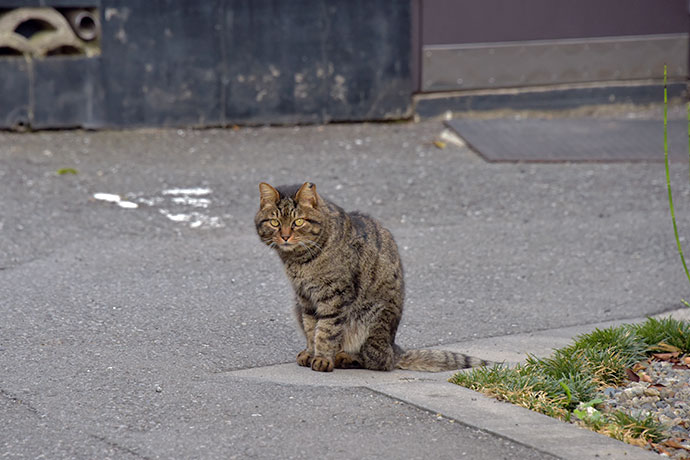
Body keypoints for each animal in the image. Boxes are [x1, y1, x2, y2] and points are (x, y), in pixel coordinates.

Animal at [254, 181, 490, 372]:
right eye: (275, 223)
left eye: (298, 222)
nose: (285, 236)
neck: (299, 260)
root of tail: (394, 349)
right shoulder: (304, 298)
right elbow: (312, 328)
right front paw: (311, 352)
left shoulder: (335, 295)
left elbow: (326, 330)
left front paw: (322, 358)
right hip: (297, 306)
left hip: (372, 317)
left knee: (378, 361)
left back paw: (344, 358)